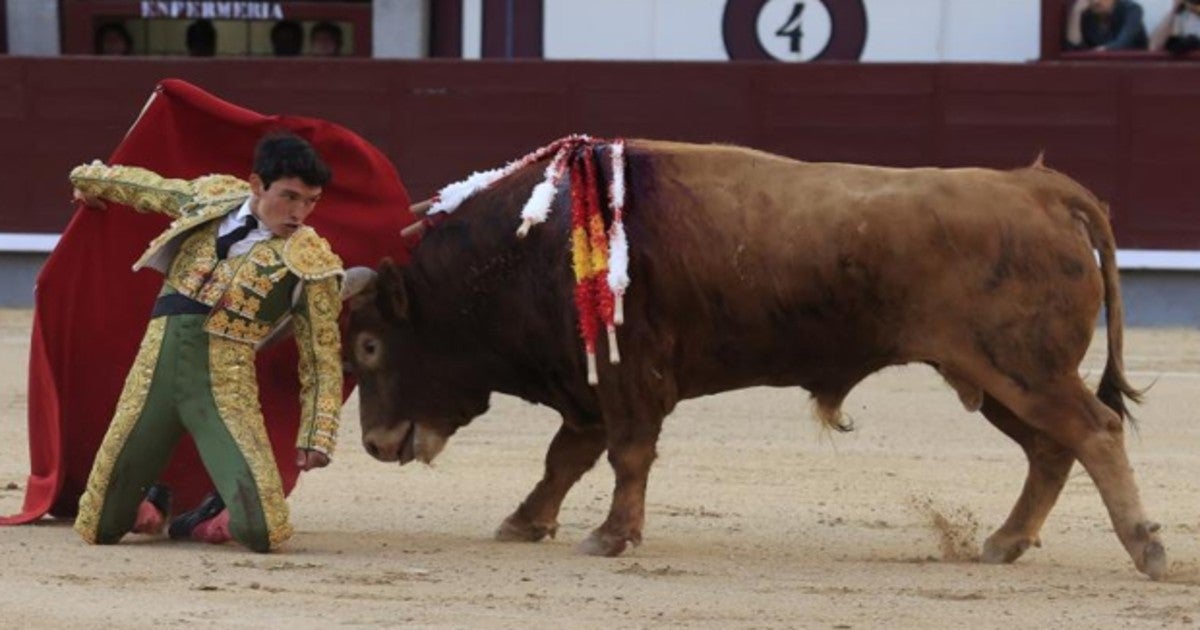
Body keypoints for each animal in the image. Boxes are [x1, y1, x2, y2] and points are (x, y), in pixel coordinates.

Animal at [343, 138, 1166, 580]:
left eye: (372, 345)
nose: (375, 445)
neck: (524, 250)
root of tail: (1039, 187)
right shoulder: (586, 383)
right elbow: (564, 458)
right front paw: (526, 522)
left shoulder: (626, 376)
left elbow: (624, 455)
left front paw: (611, 536)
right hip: (995, 378)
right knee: (1051, 450)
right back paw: (1004, 542)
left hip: (1021, 369)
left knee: (1093, 432)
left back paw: (1146, 548)